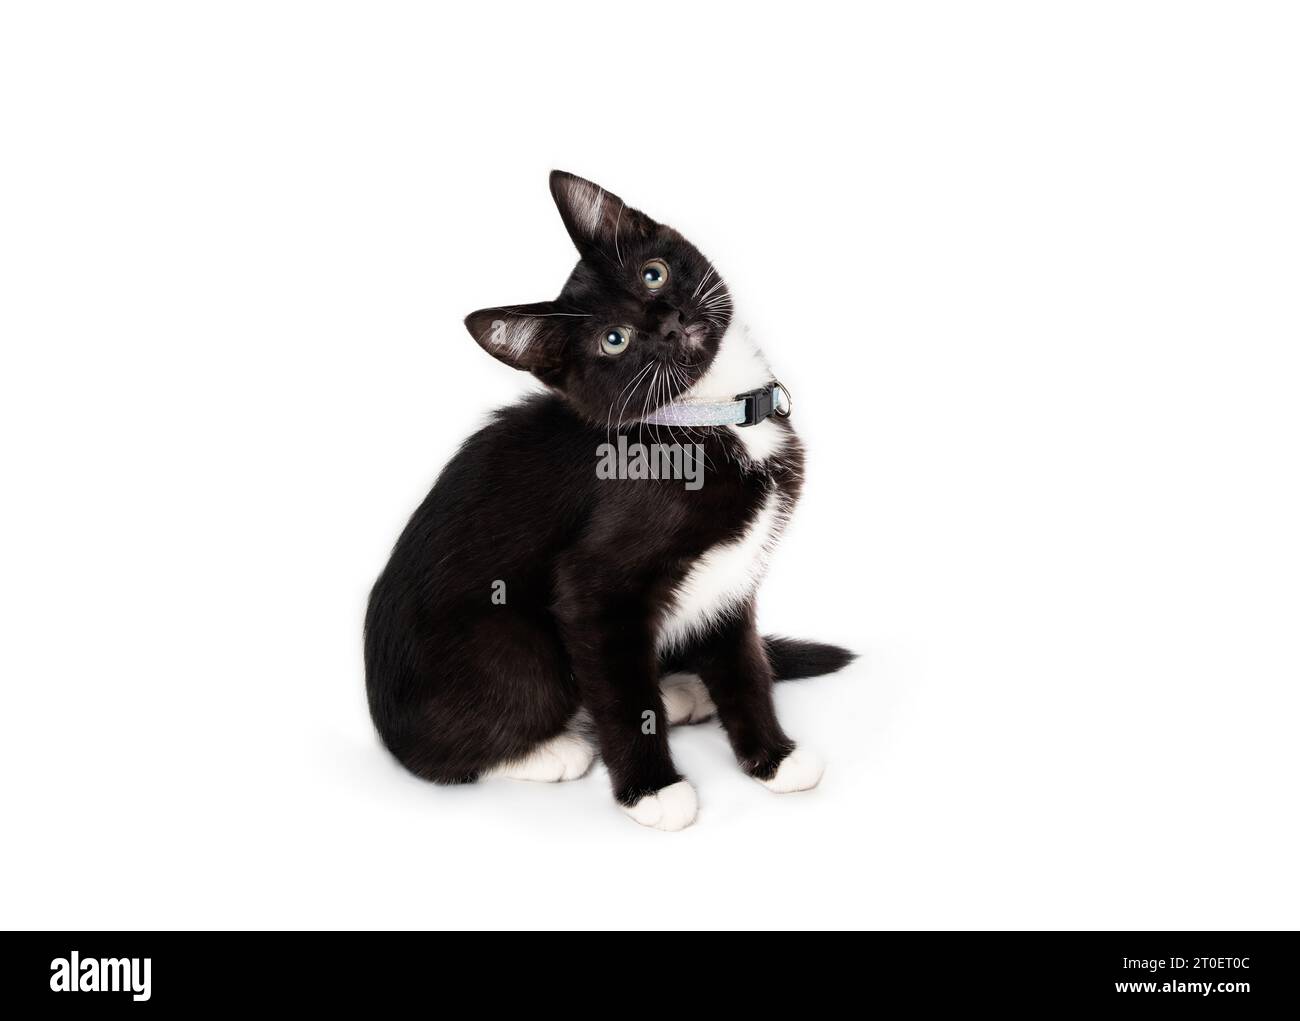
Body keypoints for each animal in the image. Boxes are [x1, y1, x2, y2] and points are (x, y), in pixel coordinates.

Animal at [366, 171, 852, 827]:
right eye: (614, 341)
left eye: (653, 273)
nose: (667, 319)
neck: (704, 419)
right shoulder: (593, 588)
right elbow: (622, 697)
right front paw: (652, 790)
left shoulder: (731, 575)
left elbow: (744, 667)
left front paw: (774, 759)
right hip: (510, 644)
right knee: (440, 757)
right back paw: (554, 750)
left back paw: (679, 691)